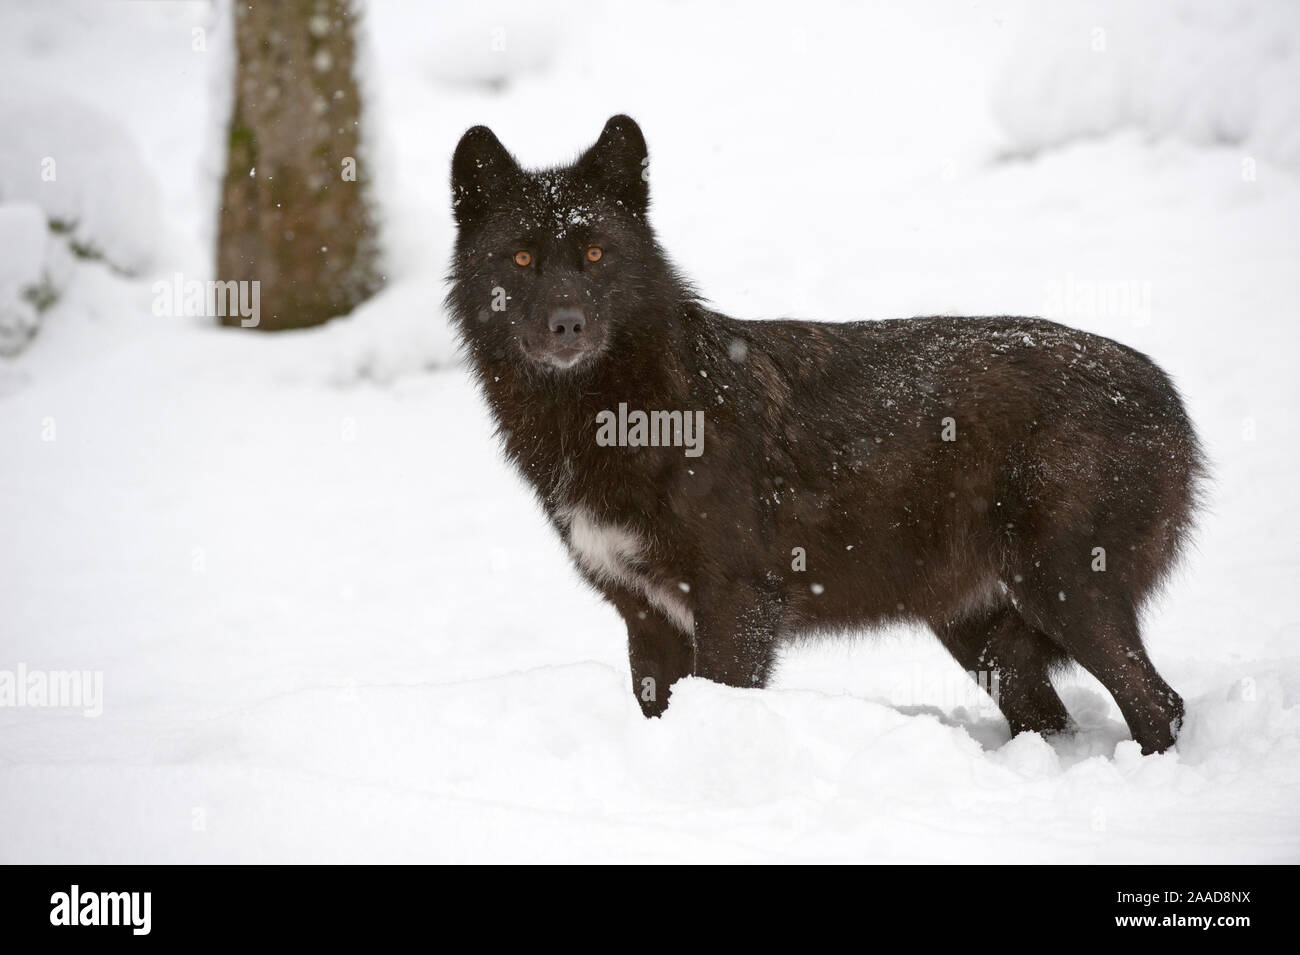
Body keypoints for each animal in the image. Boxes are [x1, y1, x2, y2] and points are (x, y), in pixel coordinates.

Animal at [447, 115, 1206, 753]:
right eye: (521, 259)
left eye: (597, 253)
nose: (567, 325)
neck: (629, 410)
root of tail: (1165, 389)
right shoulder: (647, 618)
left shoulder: (737, 603)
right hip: (983, 634)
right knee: (1053, 718)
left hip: (1063, 590)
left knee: (1159, 704)